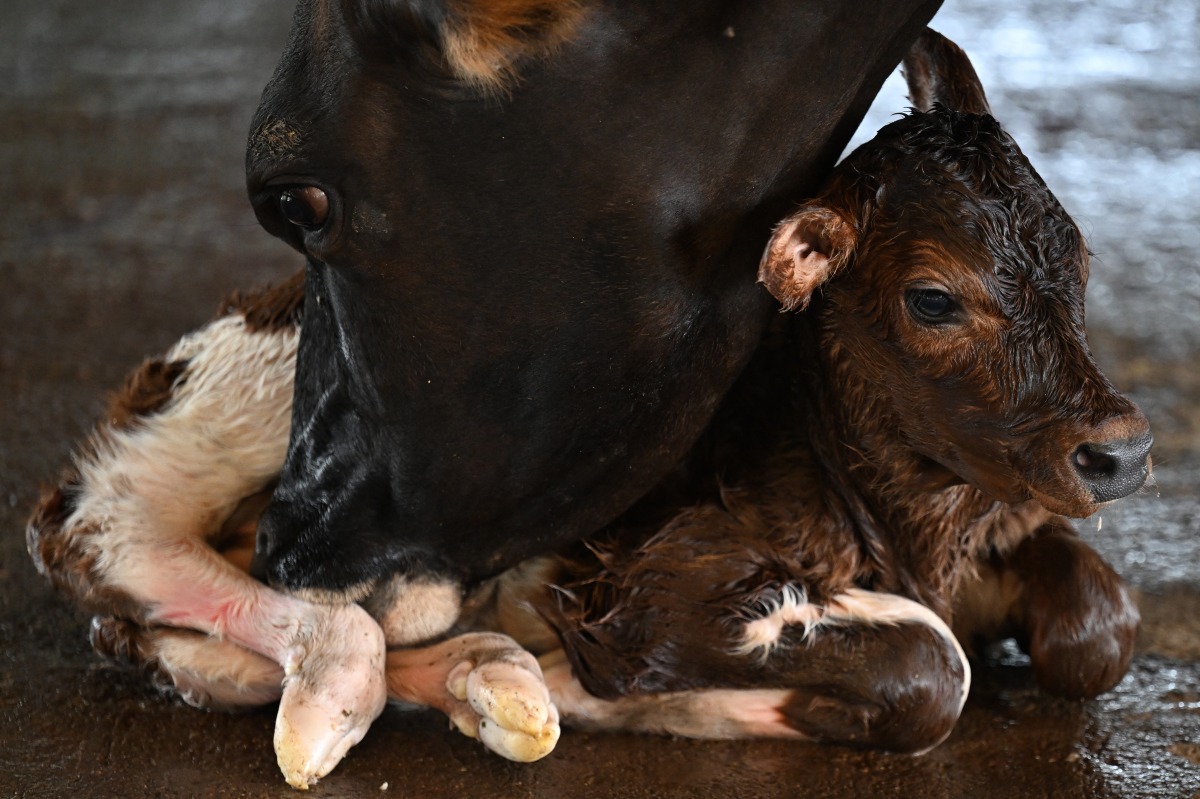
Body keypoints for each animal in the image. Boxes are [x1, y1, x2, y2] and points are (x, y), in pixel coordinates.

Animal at [27, 0, 942, 788]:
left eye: (299, 200)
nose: (281, 546)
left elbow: (934, 666)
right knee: (102, 515)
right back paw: (339, 688)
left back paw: (481, 676)